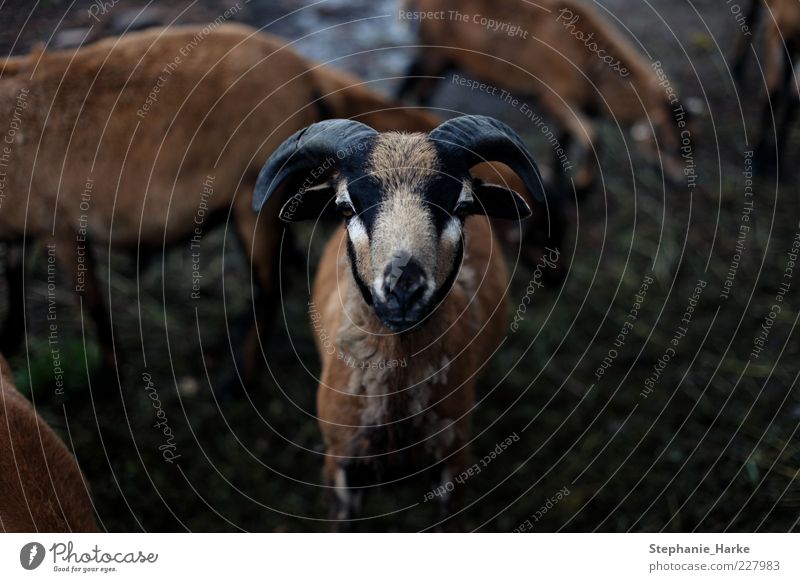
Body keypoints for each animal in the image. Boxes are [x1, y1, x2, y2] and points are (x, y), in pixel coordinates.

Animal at [396, 0, 692, 196]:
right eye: (670, 145)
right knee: (413, 81)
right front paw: (580, 188)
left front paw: (556, 175)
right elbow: (592, 134)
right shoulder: (553, 94)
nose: (682, 180)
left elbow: (565, 137)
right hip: (436, 50)